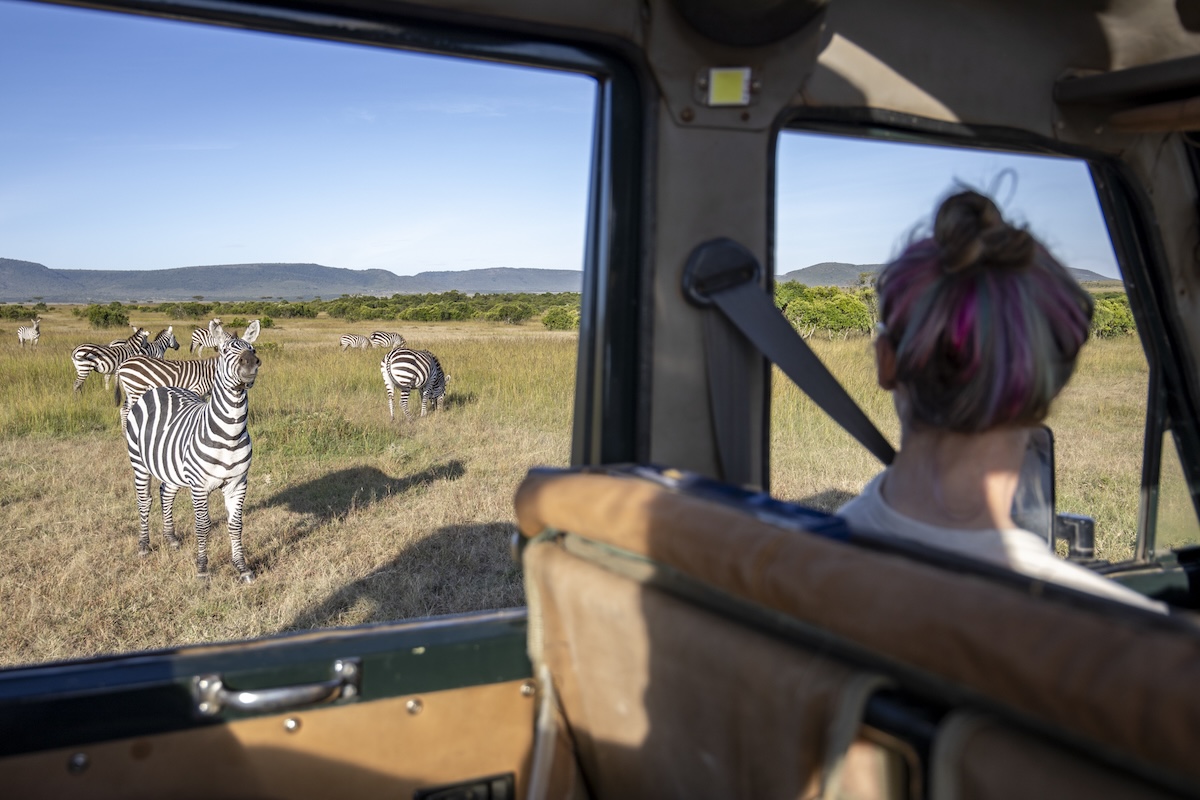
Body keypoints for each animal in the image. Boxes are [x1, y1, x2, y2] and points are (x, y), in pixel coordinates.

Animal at [125, 319, 262, 582]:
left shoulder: (238, 483)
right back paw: (144, 545)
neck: (230, 434)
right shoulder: (199, 486)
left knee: (165, 493)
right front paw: (202, 569)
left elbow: (236, 525)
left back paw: (171, 538)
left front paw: (242, 568)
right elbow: (203, 525)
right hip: (139, 462)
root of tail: (159, 388)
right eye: (224, 351)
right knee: (144, 500)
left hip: (171, 466)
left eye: (253, 348)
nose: (251, 363)